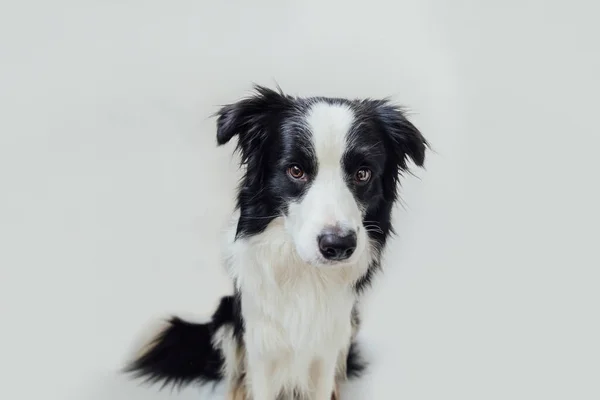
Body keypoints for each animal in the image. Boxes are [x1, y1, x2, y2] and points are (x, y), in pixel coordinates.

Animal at [125, 83, 426, 396]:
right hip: (226, 319)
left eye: (363, 174)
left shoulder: (328, 347)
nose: (339, 246)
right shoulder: (260, 347)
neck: (305, 275)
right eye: (296, 170)